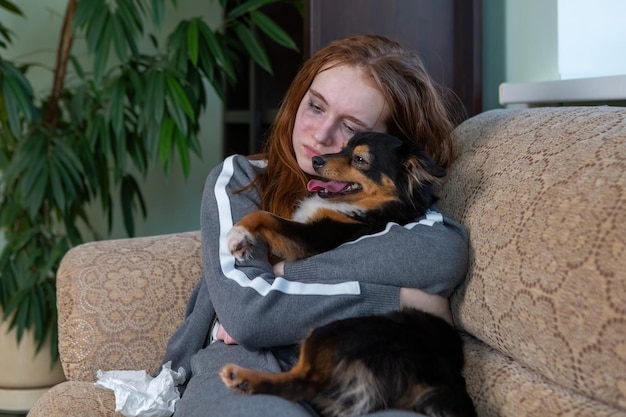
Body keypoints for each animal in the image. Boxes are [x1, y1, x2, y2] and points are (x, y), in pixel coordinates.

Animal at [219, 132, 472, 416]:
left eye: (360, 159)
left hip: (331, 330)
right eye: (342, 148)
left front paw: (239, 236)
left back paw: (242, 378)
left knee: (302, 383)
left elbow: (265, 216)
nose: (317, 160)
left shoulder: (316, 239)